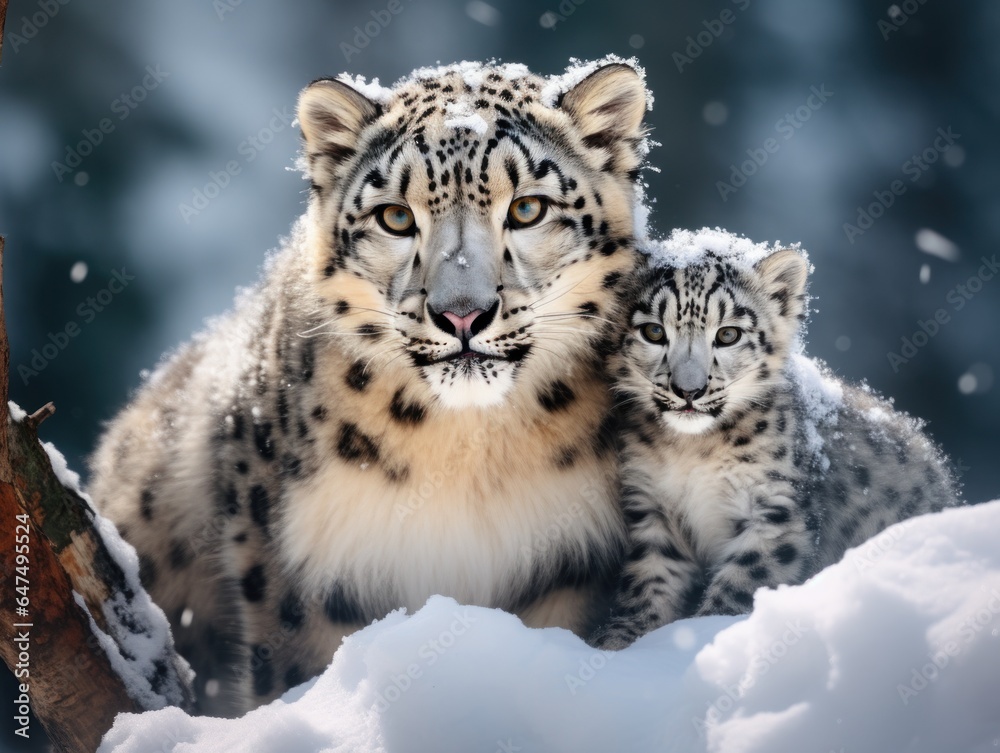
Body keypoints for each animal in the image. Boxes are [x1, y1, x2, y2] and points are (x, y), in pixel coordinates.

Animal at [88, 58, 652, 714]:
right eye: (396, 217)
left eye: (528, 209)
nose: (462, 314)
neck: (468, 454)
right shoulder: (300, 574)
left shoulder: (566, 563)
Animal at [590, 228, 962, 650]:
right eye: (653, 331)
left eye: (728, 334)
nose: (689, 390)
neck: (692, 452)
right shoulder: (652, 508)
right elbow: (649, 583)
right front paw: (621, 645)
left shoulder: (776, 510)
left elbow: (743, 583)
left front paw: (706, 639)